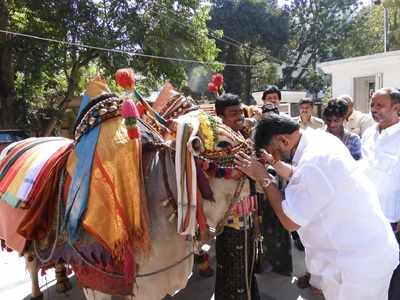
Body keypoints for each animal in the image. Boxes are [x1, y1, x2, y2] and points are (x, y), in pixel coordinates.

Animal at [0, 71, 252, 298]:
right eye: (222, 143)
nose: (257, 158)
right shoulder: (96, 281)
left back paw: (61, 279)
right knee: (32, 263)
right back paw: (38, 291)